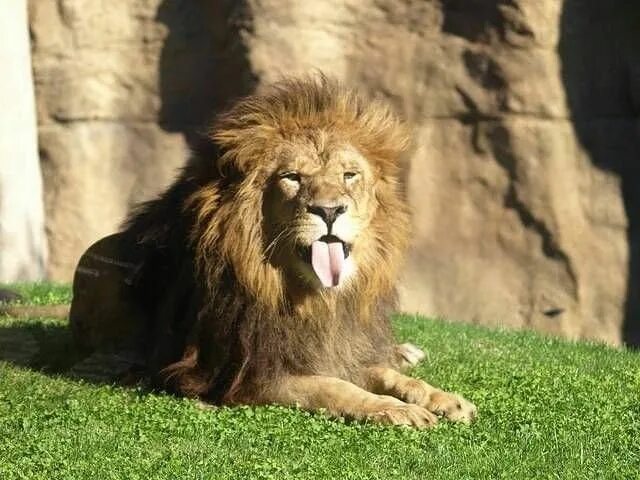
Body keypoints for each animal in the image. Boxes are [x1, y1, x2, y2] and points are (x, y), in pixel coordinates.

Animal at [69, 75, 477, 427]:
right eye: (292, 177)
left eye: (349, 175)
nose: (330, 210)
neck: (313, 300)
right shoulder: (251, 373)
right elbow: (334, 387)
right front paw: (393, 409)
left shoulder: (335, 345)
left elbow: (386, 374)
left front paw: (442, 398)